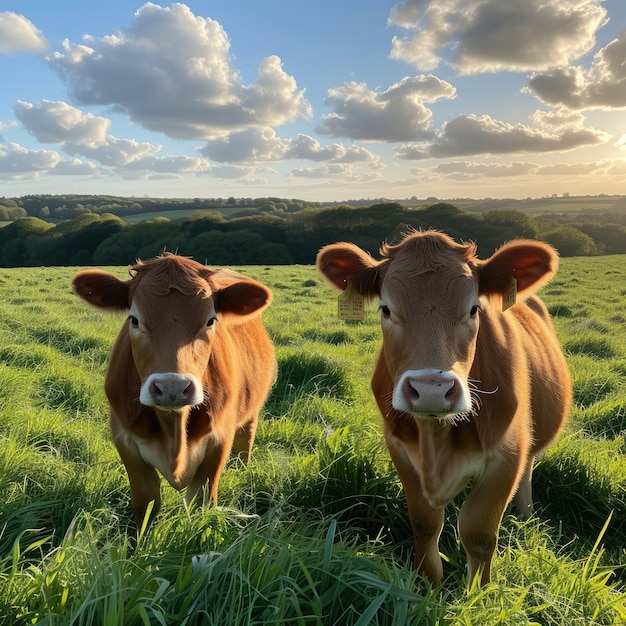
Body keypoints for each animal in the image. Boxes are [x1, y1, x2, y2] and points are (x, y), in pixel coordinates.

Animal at [72, 252, 274, 520]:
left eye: (211, 321)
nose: (172, 389)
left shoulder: (220, 438)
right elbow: (145, 502)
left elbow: (201, 502)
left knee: (245, 441)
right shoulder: (125, 439)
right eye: (134, 320)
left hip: (250, 413)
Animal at [316, 229, 572, 584]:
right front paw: (427, 586)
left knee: (528, 472)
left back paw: (525, 513)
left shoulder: (507, 456)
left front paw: (479, 592)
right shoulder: (400, 450)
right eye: (385, 309)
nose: (431, 390)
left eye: (474, 309)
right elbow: (425, 523)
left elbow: (479, 533)